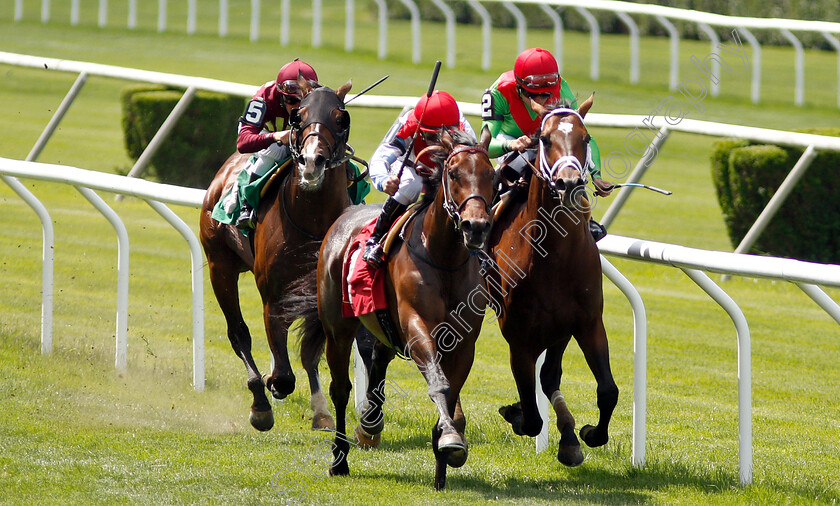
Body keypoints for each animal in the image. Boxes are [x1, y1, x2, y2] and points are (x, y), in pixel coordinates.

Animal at [200, 74, 354, 430]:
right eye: (298, 116)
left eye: (341, 119)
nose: (312, 161)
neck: (312, 220)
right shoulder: (273, 295)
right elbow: (283, 375)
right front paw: (271, 387)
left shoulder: (321, 294)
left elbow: (310, 353)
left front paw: (322, 410)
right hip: (219, 265)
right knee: (238, 333)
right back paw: (260, 400)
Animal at [294, 127, 496, 490]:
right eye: (453, 173)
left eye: (492, 175)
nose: (476, 227)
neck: (444, 258)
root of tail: (343, 217)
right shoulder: (416, 326)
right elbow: (439, 383)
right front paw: (448, 438)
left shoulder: (464, 342)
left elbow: (451, 391)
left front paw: (446, 455)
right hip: (338, 327)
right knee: (340, 389)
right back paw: (339, 459)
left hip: (385, 326)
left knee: (378, 358)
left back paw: (371, 425)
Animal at [488, 95, 620, 466]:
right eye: (545, 140)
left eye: (586, 138)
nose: (569, 183)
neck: (555, 258)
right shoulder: (518, 337)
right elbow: (531, 416)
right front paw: (516, 413)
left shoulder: (587, 322)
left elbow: (608, 390)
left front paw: (587, 434)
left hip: (559, 330)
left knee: (549, 378)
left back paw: (569, 437)